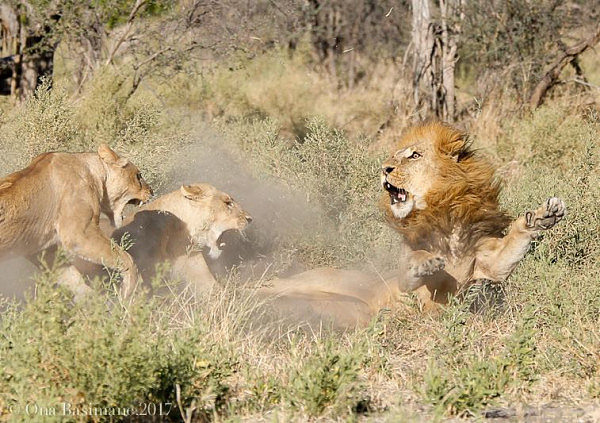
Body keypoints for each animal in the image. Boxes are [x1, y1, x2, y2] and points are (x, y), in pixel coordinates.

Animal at [0, 143, 152, 298]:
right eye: (139, 175)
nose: (151, 192)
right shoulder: (78, 234)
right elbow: (125, 258)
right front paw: (130, 289)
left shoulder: (46, 250)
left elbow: (72, 278)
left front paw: (95, 302)